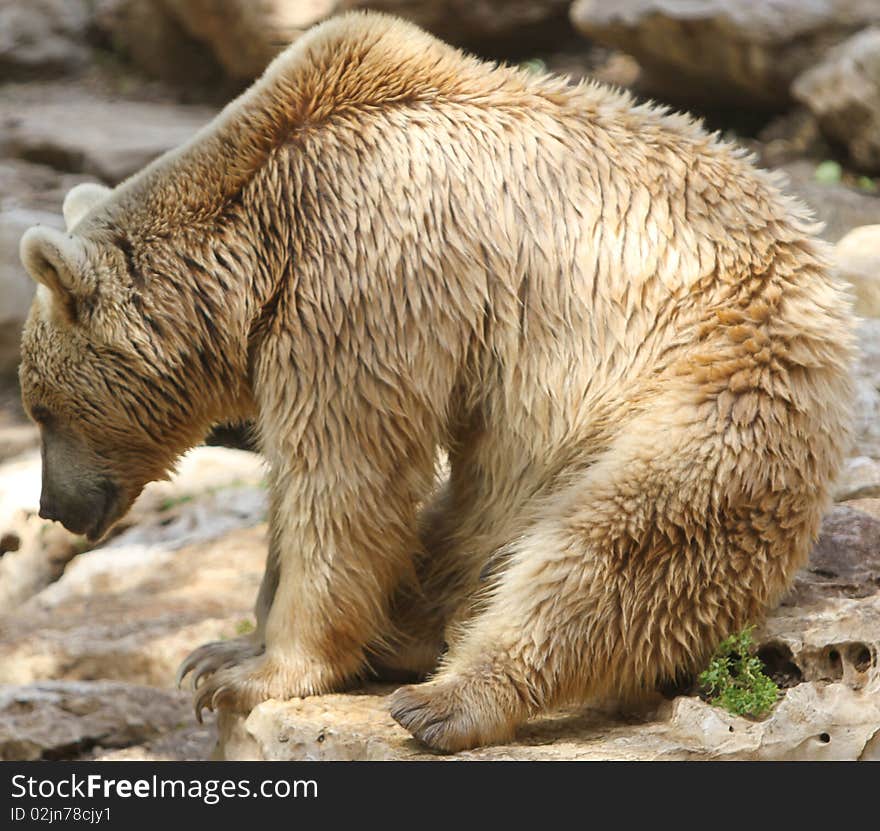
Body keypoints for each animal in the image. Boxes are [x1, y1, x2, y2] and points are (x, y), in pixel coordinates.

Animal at [17, 11, 856, 752]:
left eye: (42, 409)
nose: (53, 507)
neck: (252, 238)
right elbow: (307, 488)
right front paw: (221, 648)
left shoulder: (361, 272)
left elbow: (345, 476)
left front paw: (255, 672)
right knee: (472, 528)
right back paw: (415, 632)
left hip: (713, 388)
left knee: (621, 540)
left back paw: (446, 699)